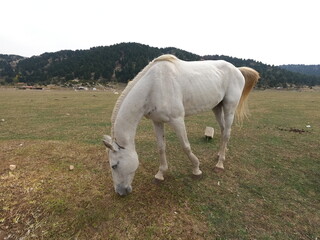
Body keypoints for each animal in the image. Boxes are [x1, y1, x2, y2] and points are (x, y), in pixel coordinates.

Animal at [104, 55, 258, 196]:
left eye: (114, 165)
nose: (120, 192)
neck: (154, 86)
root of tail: (237, 69)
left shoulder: (177, 120)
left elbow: (186, 146)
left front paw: (196, 169)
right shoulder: (157, 121)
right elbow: (161, 147)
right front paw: (160, 174)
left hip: (229, 108)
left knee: (227, 133)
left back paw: (219, 164)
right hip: (217, 107)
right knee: (223, 129)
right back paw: (221, 153)